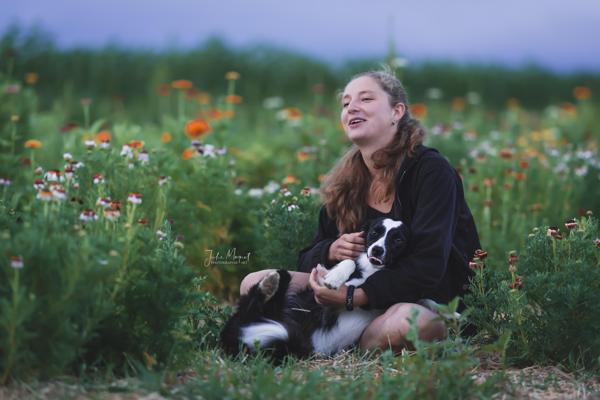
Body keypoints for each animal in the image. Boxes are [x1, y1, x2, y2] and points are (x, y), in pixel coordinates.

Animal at [218, 217, 410, 360]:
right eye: (374, 232)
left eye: (398, 240)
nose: (377, 250)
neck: (372, 269)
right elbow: (348, 261)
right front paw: (333, 278)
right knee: (252, 304)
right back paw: (270, 283)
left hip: (287, 344)